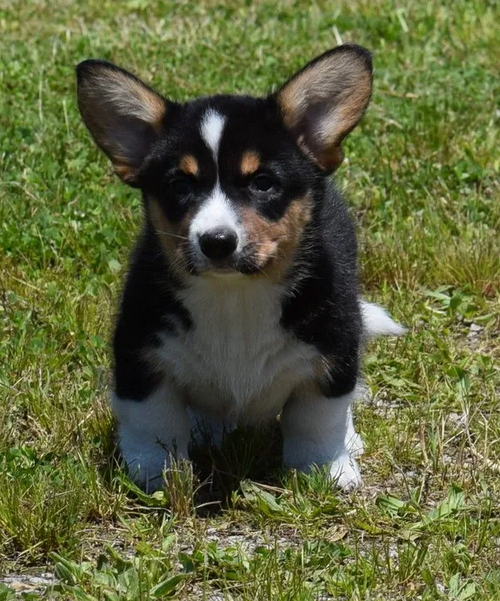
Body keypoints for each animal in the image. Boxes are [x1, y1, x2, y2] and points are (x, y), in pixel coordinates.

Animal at [77, 43, 402, 492]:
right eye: (180, 185)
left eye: (263, 183)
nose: (216, 242)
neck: (236, 296)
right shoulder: (139, 356)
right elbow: (153, 423)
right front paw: (156, 474)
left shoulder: (333, 351)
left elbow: (318, 420)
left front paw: (326, 469)